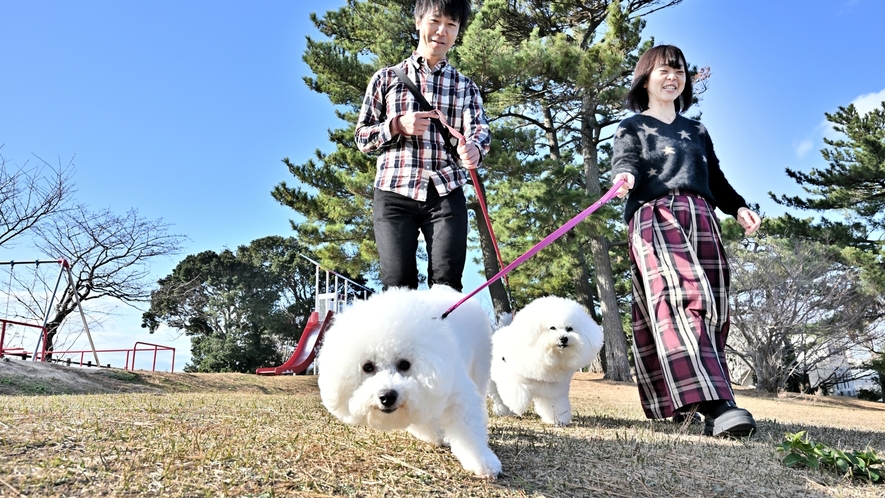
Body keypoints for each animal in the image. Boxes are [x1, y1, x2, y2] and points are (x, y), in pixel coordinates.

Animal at [314, 286, 500, 480]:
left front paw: (483, 462)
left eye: (405, 364)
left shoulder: (457, 395)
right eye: (367, 367)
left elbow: (469, 430)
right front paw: (434, 434)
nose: (387, 396)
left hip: (480, 367)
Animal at [486, 296, 604, 428]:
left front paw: (558, 420)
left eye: (569, 328)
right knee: (498, 397)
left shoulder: (553, 389)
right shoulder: (510, 374)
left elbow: (555, 404)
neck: (547, 356)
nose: (564, 338)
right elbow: (516, 391)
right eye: (552, 328)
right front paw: (518, 405)